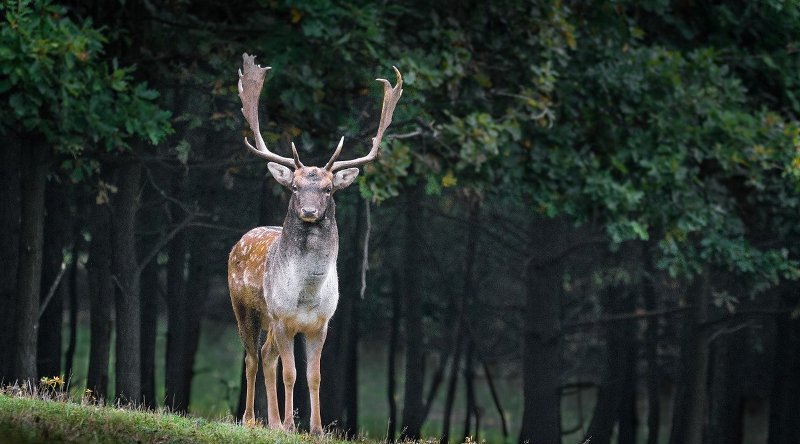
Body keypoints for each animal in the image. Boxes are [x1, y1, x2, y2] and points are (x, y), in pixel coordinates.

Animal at [227, 53, 404, 436]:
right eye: (294, 187)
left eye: (328, 189)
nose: (308, 211)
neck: (307, 294)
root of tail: (240, 240)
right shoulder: (283, 318)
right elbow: (291, 373)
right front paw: (290, 425)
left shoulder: (321, 324)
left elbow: (314, 376)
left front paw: (316, 428)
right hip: (244, 307)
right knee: (251, 356)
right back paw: (251, 419)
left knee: (266, 356)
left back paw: (272, 422)